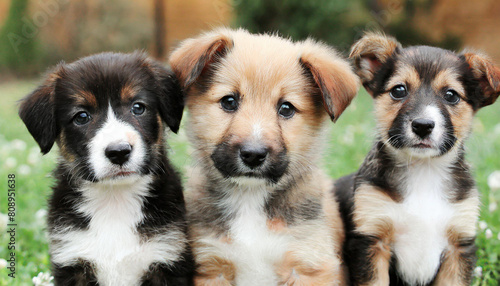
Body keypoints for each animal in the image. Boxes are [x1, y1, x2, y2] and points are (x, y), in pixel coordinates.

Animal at [18, 52, 193, 286]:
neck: (115, 200)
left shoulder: (167, 255)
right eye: (82, 116)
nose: (119, 152)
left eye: (138, 107)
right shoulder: (72, 258)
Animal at [169, 27, 360, 286]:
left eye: (286, 108)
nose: (253, 155)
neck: (250, 197)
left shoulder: (308, 263)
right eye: (229, 101)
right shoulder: (213, 265)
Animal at [334, 33, 500, 286]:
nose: (422, 125)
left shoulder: (458, 247)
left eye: (451, 95)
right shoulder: (372, 241)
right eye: (399, 90)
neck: (424, 170)